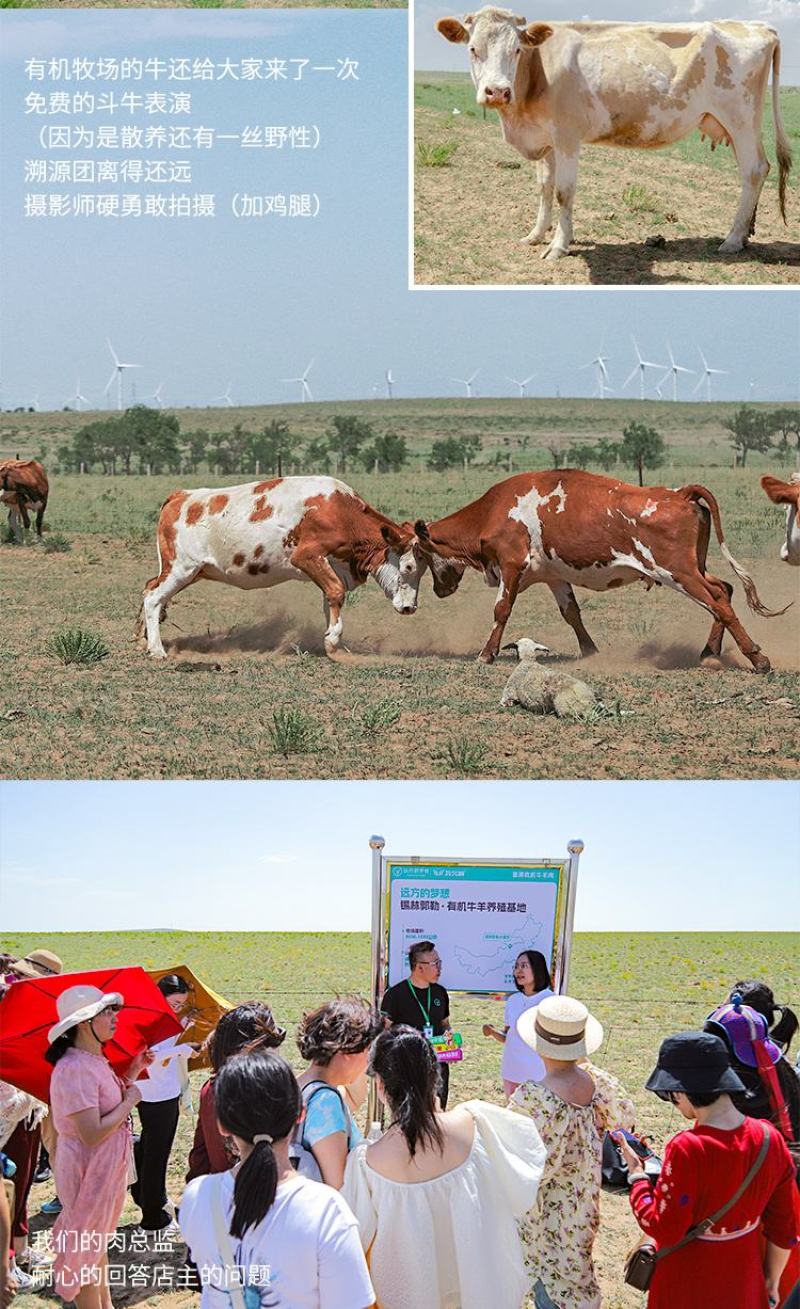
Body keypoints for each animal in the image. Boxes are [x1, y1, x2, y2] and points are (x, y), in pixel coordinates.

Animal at [136, 473, 432, 659]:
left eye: (424, 568)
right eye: (408, 567)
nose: (410, 607)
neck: (340, 511)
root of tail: (181, 496)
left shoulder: (333, 567)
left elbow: (330, 598)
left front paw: (331, 639)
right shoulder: (306, 556)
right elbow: (336, 593)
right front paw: (332, 640)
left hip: (189, 571)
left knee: (150, 588)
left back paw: (142, 638)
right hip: (181, 568)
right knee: (153, 597)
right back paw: (157, 650)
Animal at [418, 471, 790, 675]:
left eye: (419, 553)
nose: (439, 591)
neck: (494, 510)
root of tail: (679, 493)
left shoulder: (511, 567)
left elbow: (501, 610)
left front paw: (486, 654)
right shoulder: (554, 577)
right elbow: (572, 613)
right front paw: (590, 651)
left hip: (679, 573)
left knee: (718, 602)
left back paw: (758, 658)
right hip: (694, 569)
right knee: (724, 590)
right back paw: (710, 652)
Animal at [434, 11, 790, 259]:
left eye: (517, 50)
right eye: (473, 48)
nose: (497, 92)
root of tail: (758, 26)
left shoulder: (567, 137)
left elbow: (563, 192)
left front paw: (559, 246)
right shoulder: (545, 140)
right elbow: (544, 188)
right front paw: (535, 234)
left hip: (741, 119)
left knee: (754, 170)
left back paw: (732, 240)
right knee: (754, 172)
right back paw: (744, 234)